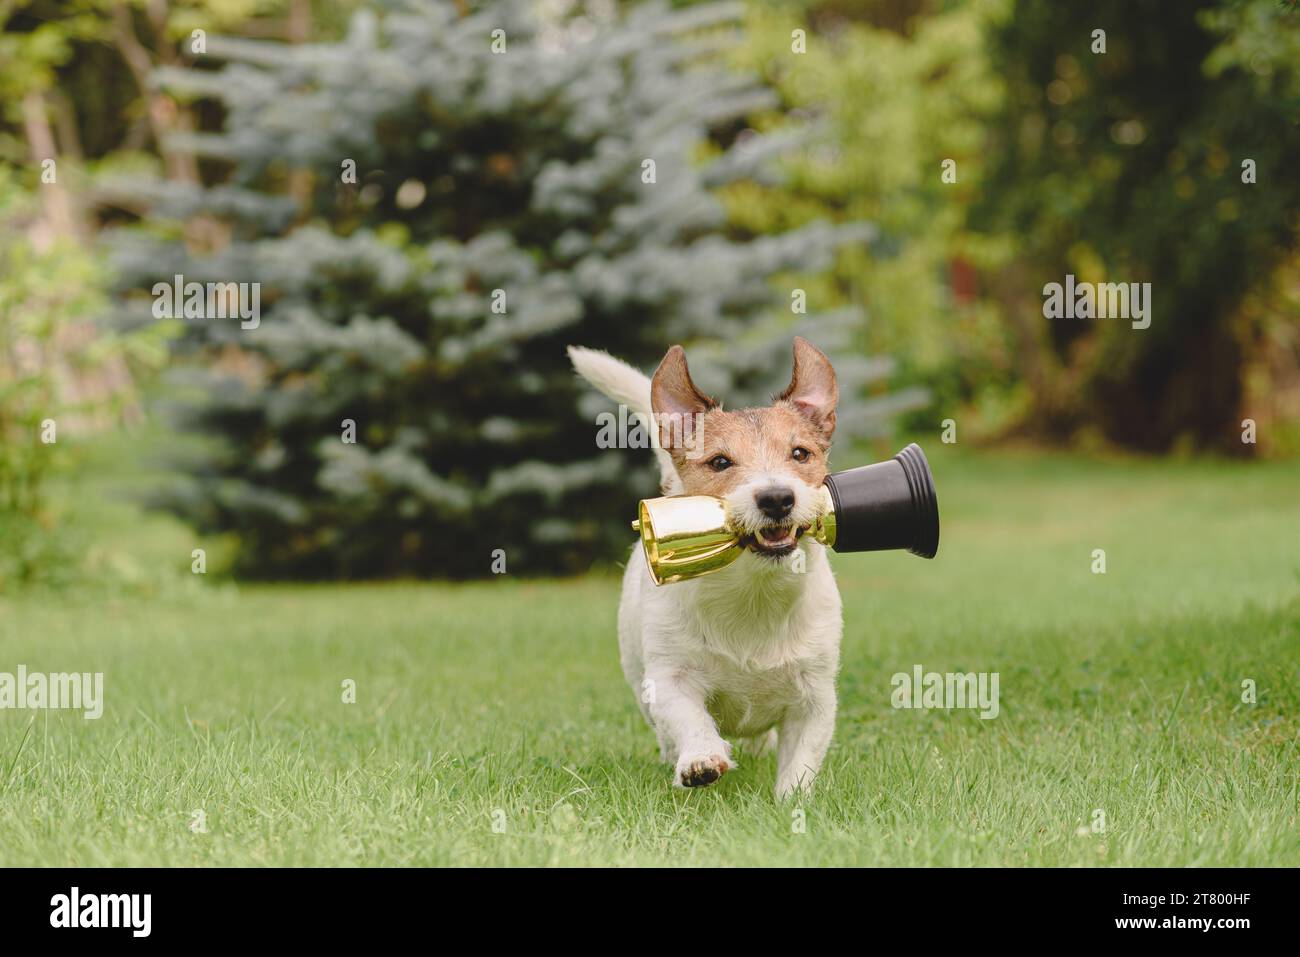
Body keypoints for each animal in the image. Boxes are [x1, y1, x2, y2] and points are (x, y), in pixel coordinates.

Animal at [569, 335, 842, 800]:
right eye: (719, 462)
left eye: (800, 453)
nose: (776, 498)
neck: (754, 594)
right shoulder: (670, 678)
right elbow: (690, 718)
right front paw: (699, 760)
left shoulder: (816, 696)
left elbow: (801, 759)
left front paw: (792, 801)